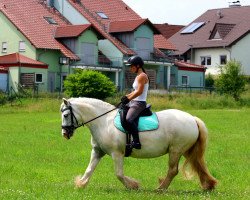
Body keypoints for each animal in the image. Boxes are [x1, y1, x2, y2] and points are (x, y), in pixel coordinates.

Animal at [60, 97, 217, 190]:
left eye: (66, 115)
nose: (65, 134)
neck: (104, 121)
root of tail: (192, 118)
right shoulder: (97, 151)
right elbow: (89, 170)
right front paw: (80, 184)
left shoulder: (117, 153)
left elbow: (119, 174)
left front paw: (133, 185)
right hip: (185, 151)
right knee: (198, 165)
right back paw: (208, 185)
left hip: (176, 151)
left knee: (173, 170)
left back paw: (161, 189)